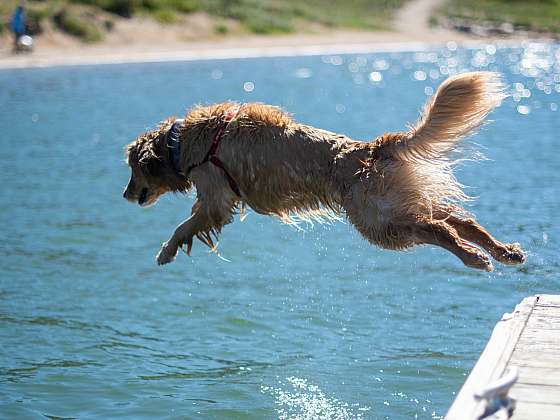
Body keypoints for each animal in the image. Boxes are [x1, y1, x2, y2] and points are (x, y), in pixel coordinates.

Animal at [122, 70, 524, 270]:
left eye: (132, 170)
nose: (125, 194)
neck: (181, 143)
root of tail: (373, 147)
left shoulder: (215, 197)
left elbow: (184, 226)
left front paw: (166, 251)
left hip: (379, 221)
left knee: (438, 229)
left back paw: (475, 257)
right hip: (398, 202)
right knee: (460, 220)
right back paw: (504, 251)